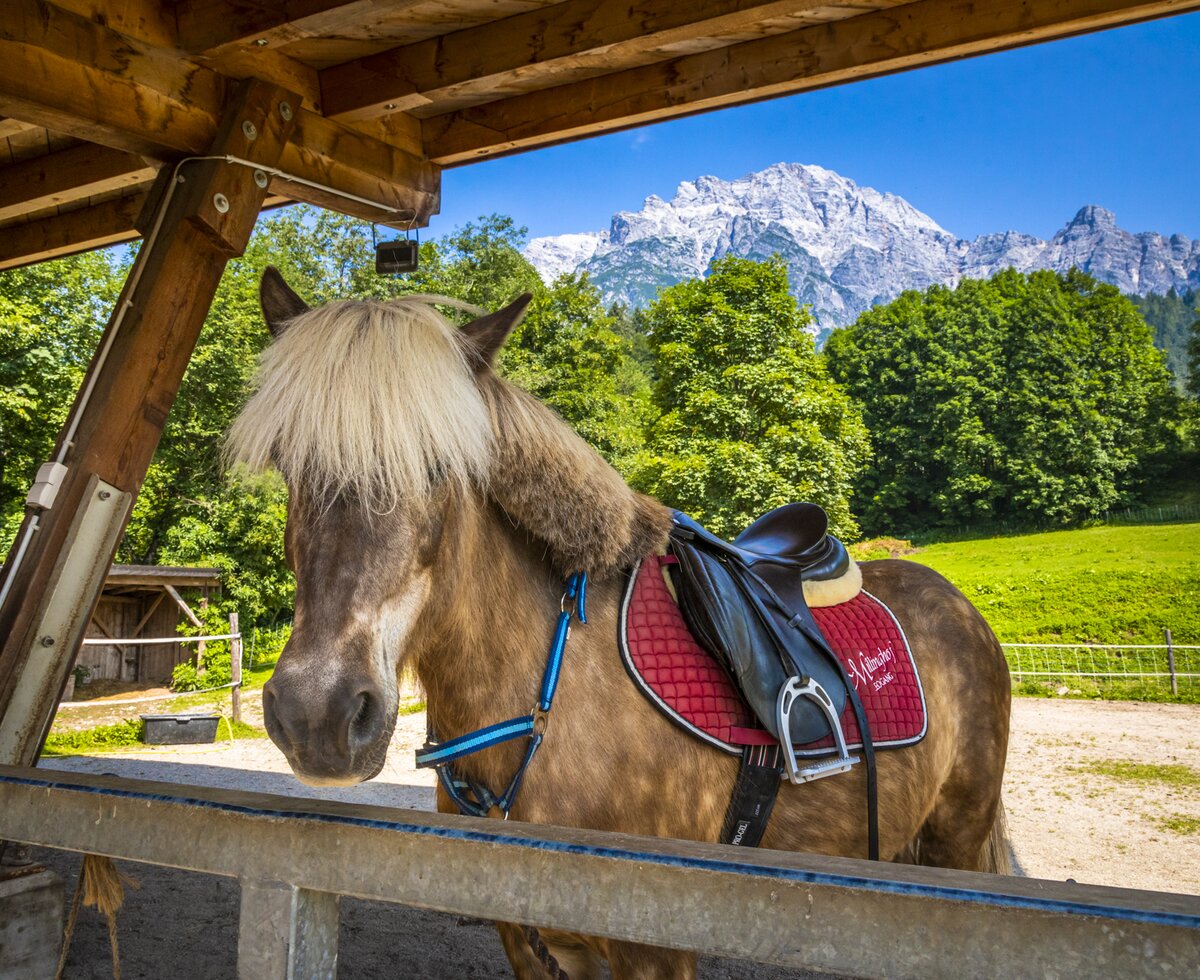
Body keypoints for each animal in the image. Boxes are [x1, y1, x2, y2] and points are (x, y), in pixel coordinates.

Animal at [226, 271, 1012, 978]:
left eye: (442, 466)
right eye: (289, 464)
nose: (318, 713)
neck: (552, 699)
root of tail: (956, 604)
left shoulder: (653, 949)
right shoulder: (530, 943)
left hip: (956, 841)